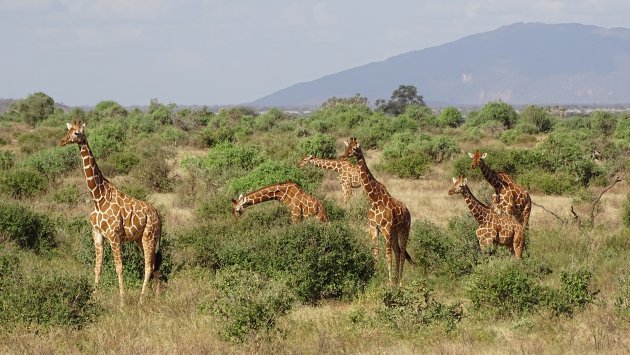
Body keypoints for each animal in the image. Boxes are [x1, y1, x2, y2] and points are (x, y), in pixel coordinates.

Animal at [60, 121, 162, 304]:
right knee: (154, 264)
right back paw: (156, 299)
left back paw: (141, 301)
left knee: (149, 266)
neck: (98, 198)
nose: (62, 141)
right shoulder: (97, 234)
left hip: (149, 236)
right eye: (68, 130)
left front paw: (122, 302)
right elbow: (97, 267)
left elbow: (119, 267)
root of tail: (159, 216)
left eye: (77, 133)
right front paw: (93, 298)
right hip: (141, 238)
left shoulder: (114, 236)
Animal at [346, 137, 414, 286]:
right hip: (394, 232)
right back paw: (396, 279)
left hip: (404, 229)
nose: (345, 155)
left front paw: (389, 283)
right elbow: (376, 253)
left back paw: (399, 282)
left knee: (401, 252)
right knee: (397, 251)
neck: (374, 200)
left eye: (354, 148)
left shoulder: (386, 228)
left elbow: (387, 255)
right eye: (346, 148)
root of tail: (408, 212)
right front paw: (376, 277)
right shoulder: (374, 227)